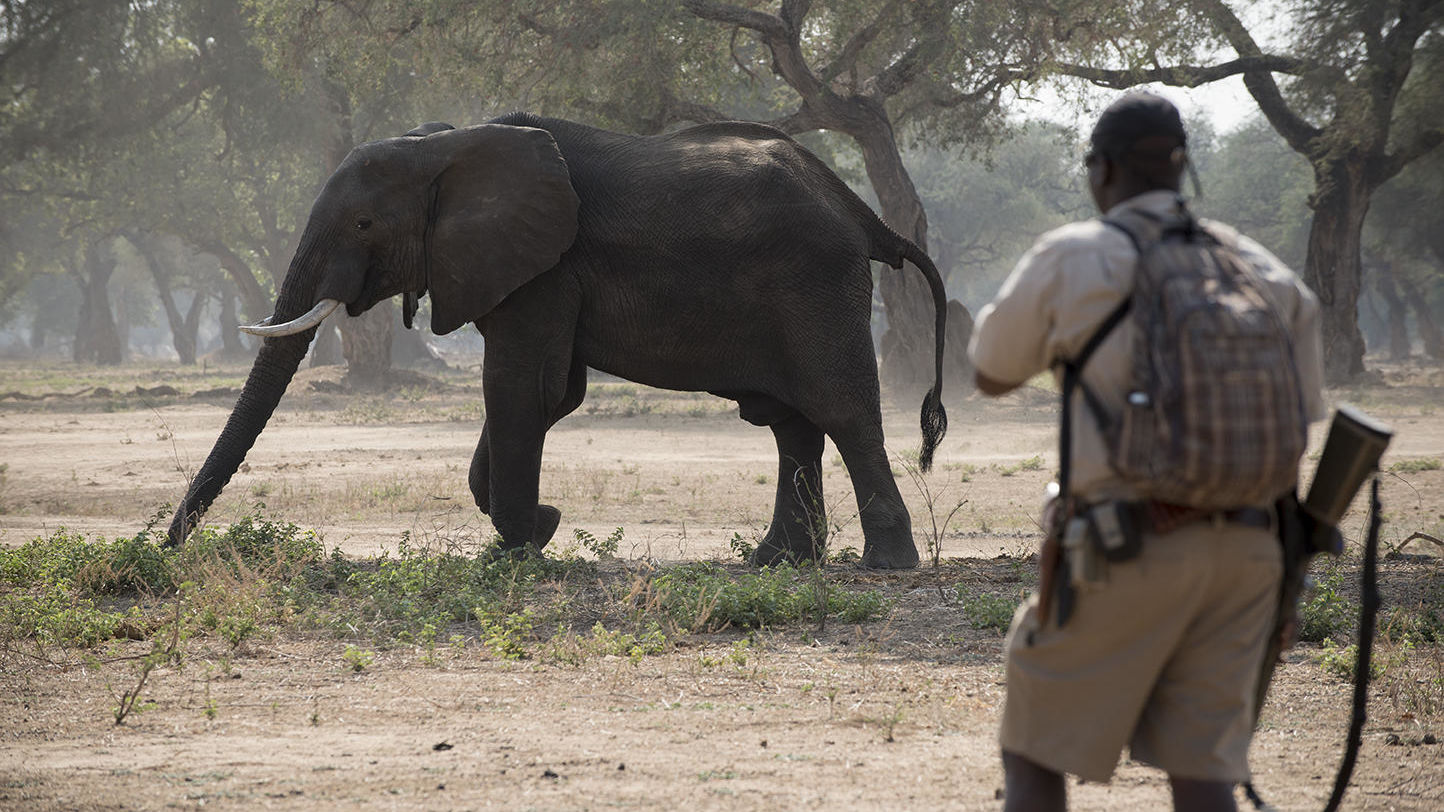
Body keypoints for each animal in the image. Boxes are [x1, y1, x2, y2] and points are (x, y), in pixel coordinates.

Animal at [166, 115, 947, 569]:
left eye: (363, 225)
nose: (168, 548)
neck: (446, 145)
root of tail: (860, 211)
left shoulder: (544, 267)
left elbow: (521, 387)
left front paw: (523, 545)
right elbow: (549, 392)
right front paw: (539, 529)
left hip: (815, 282)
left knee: (840, 411)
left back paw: (887, 565)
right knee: (791, 423)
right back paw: (776, 562)